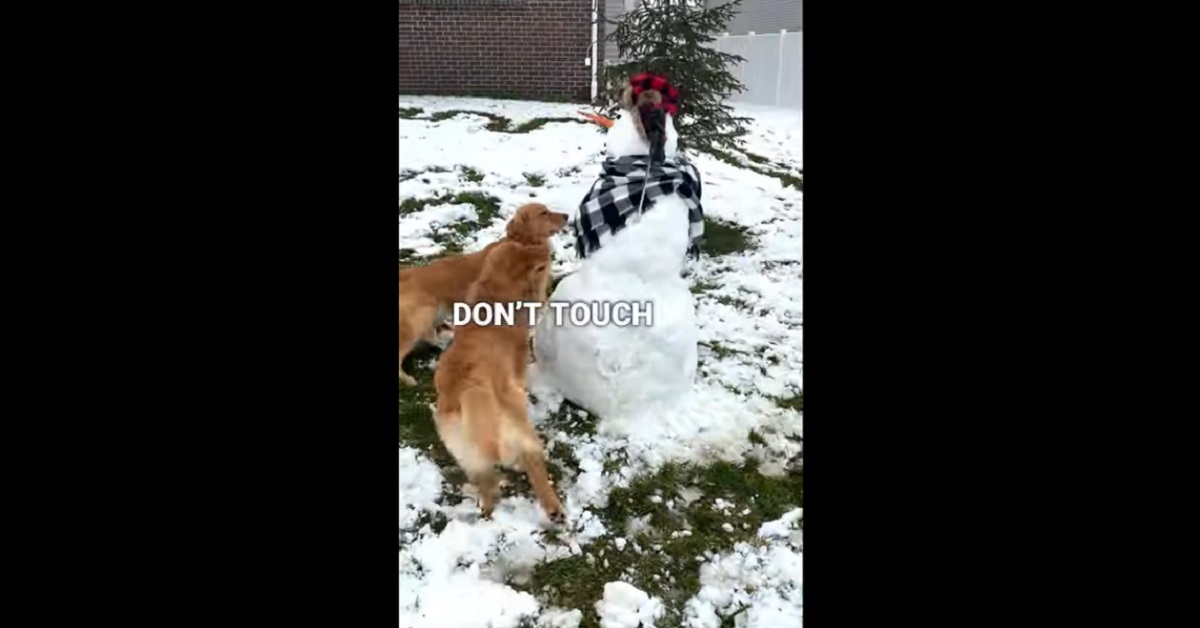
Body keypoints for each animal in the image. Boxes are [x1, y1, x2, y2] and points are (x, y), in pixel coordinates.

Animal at [398, 204, 566, 386]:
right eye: (543, 213)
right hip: (421, 318)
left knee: (430, 335)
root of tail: (405, 274)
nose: (567, 216)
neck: (523, 243)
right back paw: (408, 379)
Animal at [434, 238, 564, 523]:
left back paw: (487, 507)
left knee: (486, 482)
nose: (547, 249)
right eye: (541, 267)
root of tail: (467, 389)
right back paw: (554, 509)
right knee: (533, 463)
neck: (495, 291)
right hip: (518, 422)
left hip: (468, 454)